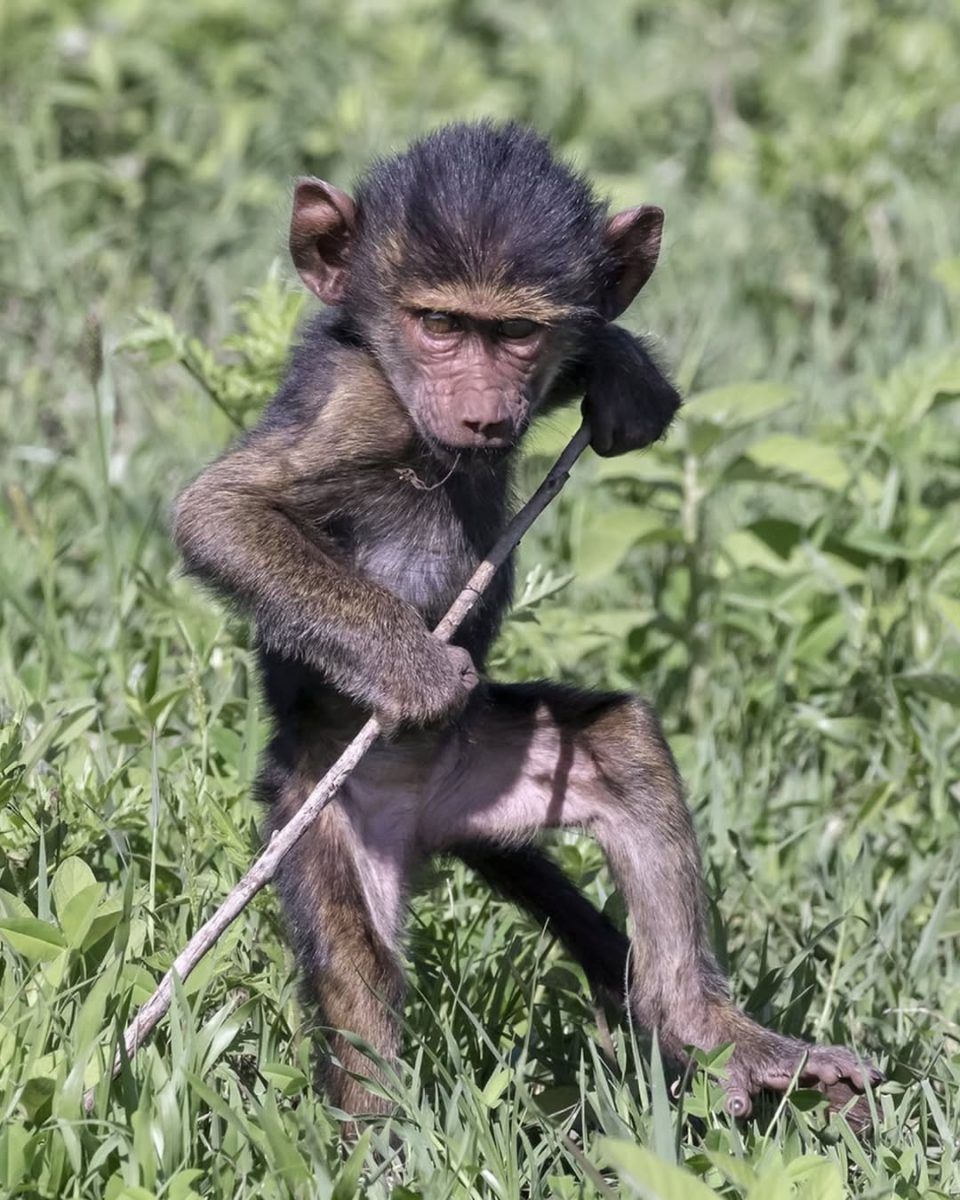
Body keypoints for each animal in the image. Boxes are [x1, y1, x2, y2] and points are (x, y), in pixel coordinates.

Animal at [173, 122, 880, 1124]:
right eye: (439, 325)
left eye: (514, 333)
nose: (480, 413)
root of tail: (430, 822)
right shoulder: (356, 404)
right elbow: (222, 513)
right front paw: (415, 670)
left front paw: (625, 373)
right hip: (324, 811)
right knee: (358, 983)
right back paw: (382, 1138)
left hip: (493, 778)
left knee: (623, 749)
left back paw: (714, 1030)